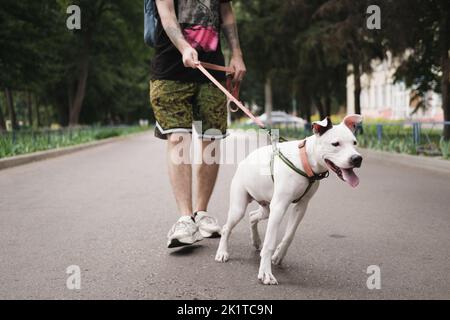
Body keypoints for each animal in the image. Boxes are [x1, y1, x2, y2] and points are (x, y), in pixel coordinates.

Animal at [214, 115, 362, 284]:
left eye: (355, 143)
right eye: (335, 144)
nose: (357, 158)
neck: (306, 160)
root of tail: (245, 160)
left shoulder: (301, 206)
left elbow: (290, 234)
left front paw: (278, 254)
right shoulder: (279, 207)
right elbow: (270, 242)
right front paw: (265, 272)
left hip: (267, 209)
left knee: (252, 217)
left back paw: (256, 240)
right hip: (239, 208)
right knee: (227, 227)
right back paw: (222, 252)